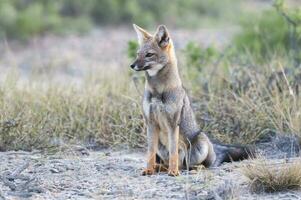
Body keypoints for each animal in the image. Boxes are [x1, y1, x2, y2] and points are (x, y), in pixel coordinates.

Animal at [129, 24, 253, 176]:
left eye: (149, 54)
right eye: (138, 54)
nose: (132, 65)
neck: (158, 91)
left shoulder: (172, 123)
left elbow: (173, 153)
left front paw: (173, 172)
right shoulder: (150, 122)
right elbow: (150, 153)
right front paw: (149, 169)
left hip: (199, 145)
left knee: (192, 165)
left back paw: (190, 169)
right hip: (160, 145)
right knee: (170, 163)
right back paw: (159, 168)